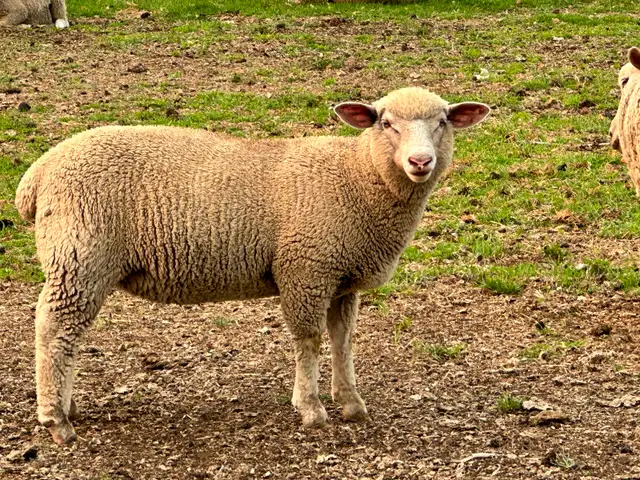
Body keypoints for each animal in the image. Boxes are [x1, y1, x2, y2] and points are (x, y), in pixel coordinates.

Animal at [15, 87, 490, 445]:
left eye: (442, 122)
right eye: (386, 123)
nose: (420, 162)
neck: (356, 177)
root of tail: (37, 175)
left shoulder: (342, 279)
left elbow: (343, 340)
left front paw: (351, 402)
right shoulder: (306, 268)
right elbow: (308, 340)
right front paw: (311, 407)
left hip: (77, 260)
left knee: (64, 334)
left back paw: (65, 405)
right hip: (80, 257)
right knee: (54, 329)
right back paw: (56, 419)